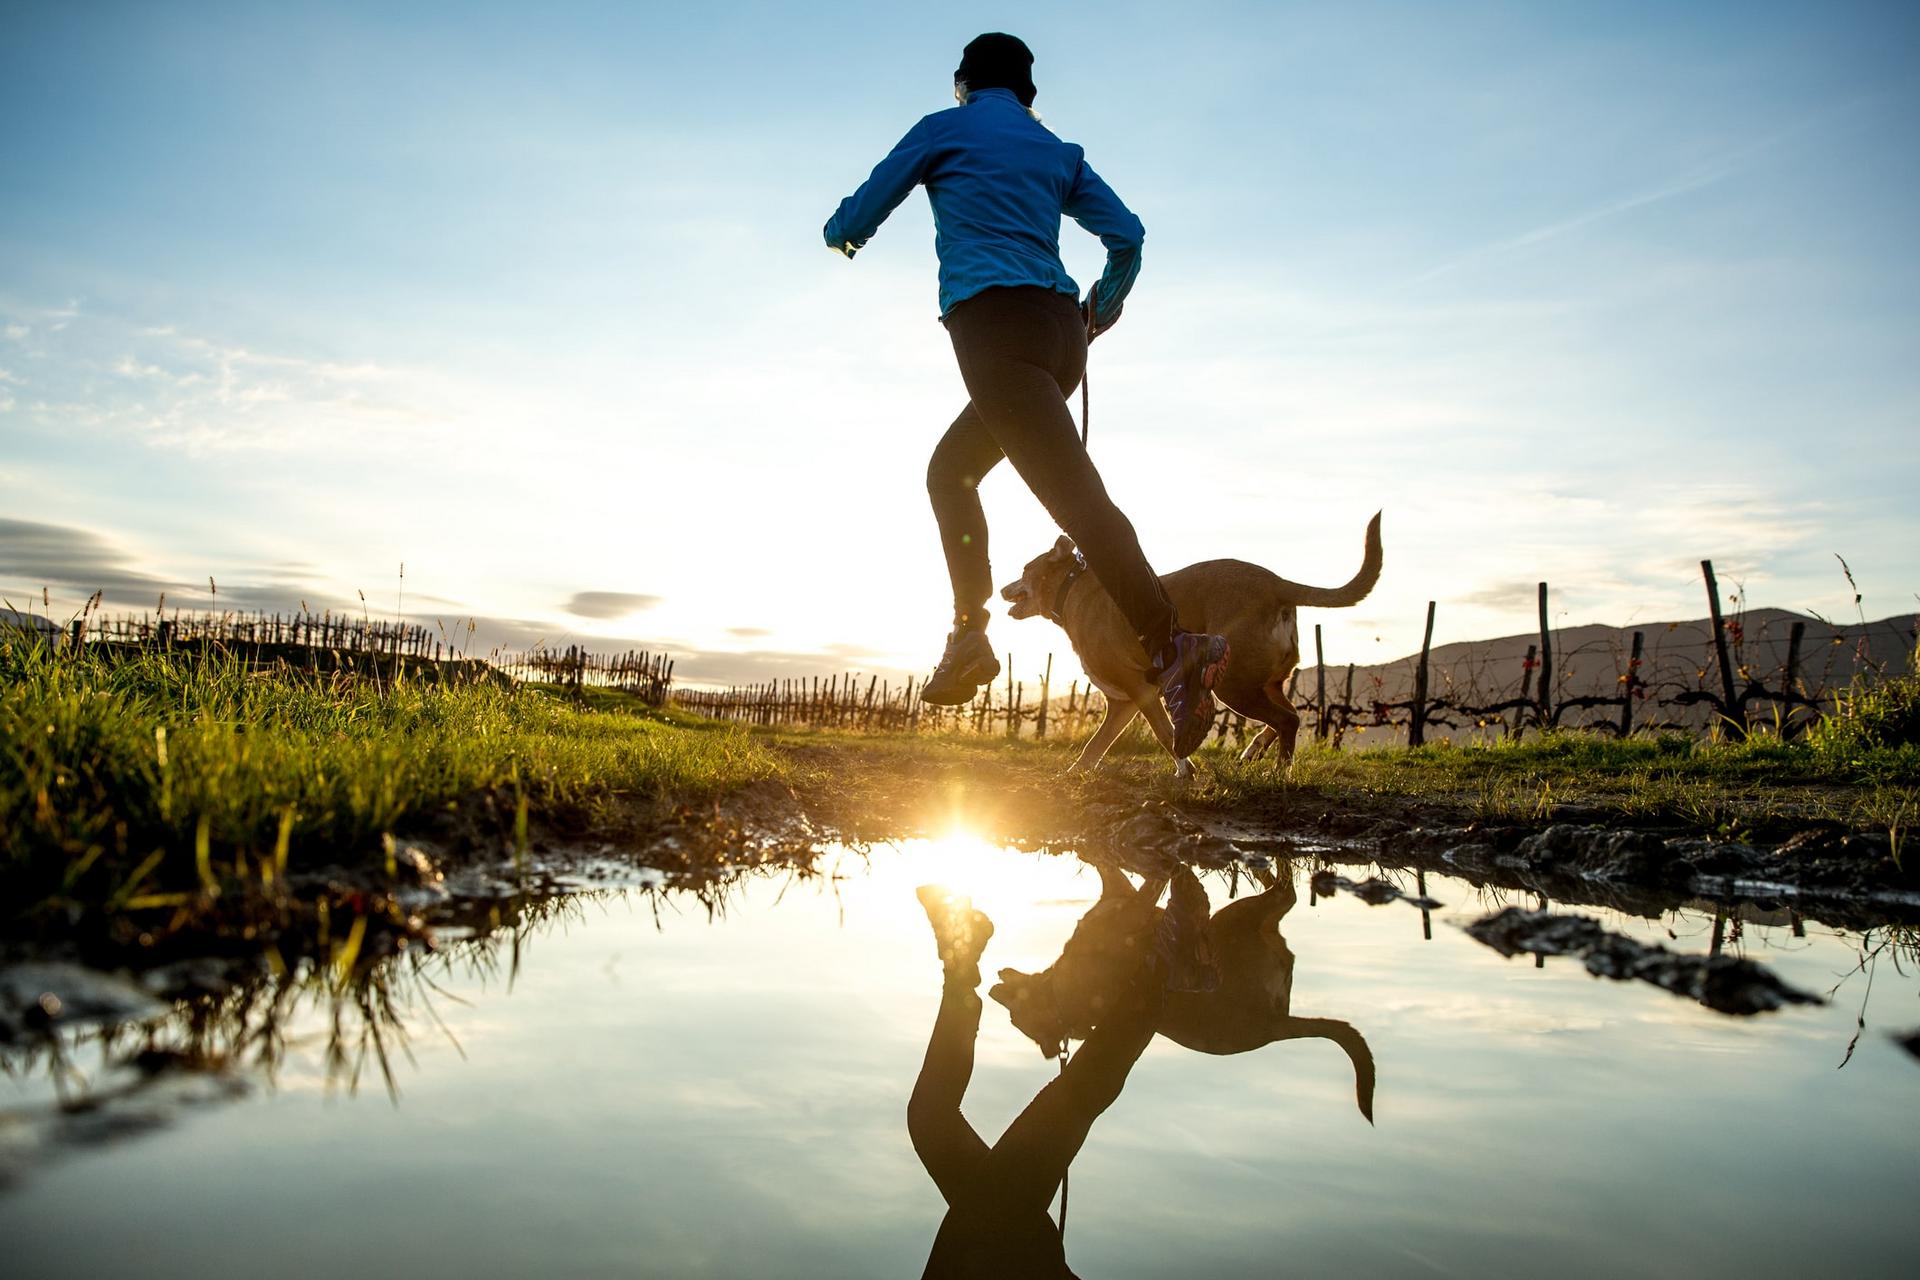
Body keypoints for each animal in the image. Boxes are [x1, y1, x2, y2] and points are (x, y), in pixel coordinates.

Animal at [1006, 514, 1382, 775]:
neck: (1072, 588)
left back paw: (1279, 774)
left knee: (1287, 720)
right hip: (1266, 681)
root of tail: (1276, 584)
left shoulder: (1140, 689)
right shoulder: (1123, 702)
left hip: (1233, 684)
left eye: (1025, 570)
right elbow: (1095, 746)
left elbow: (1164, 732)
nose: (1003, 589)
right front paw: (1075, 773)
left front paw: (1186, 769)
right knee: (1289, 716)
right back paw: (1255, 750)